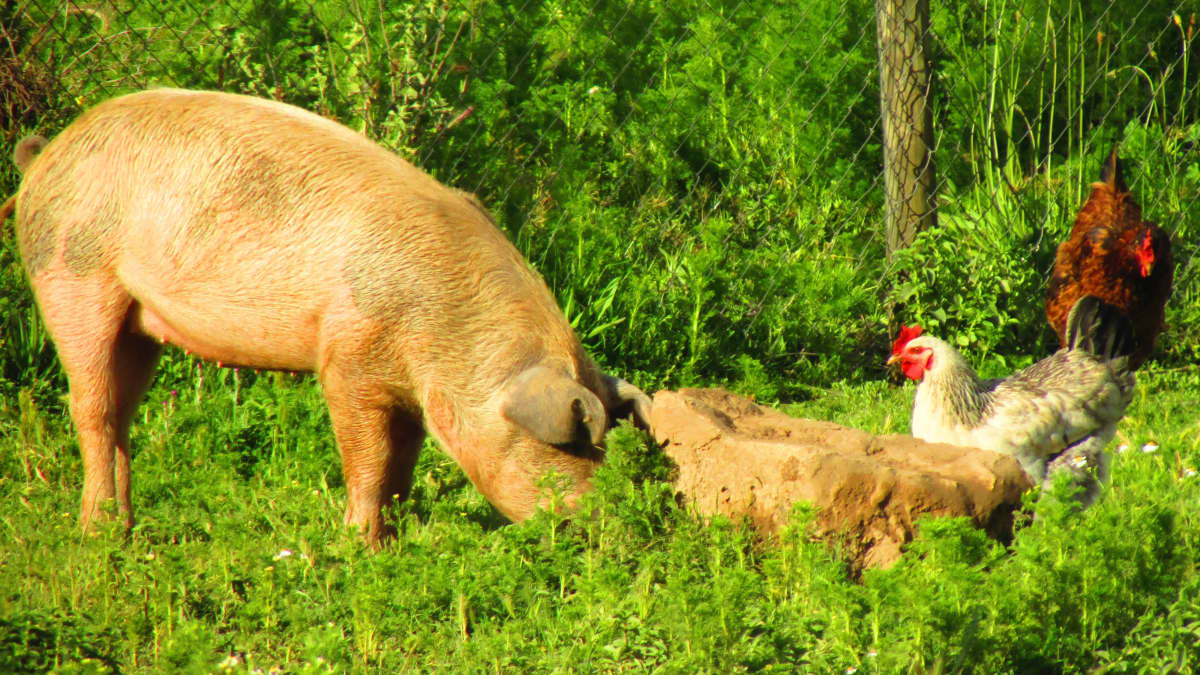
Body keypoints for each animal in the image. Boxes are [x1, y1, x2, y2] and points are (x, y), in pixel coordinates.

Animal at [9, 88, 652, 540]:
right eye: (575, 443)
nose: (608, 526)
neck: (448, 336)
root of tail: (46, 154)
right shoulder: (349, 360)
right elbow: (369, 460)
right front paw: (359, 547)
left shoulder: (408, 393)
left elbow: (402, 469)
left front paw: (394, 545)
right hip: (71, 274)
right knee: (90, 406)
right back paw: (97, 532)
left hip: (139, 324)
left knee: (122, 410)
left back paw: (127, 528)